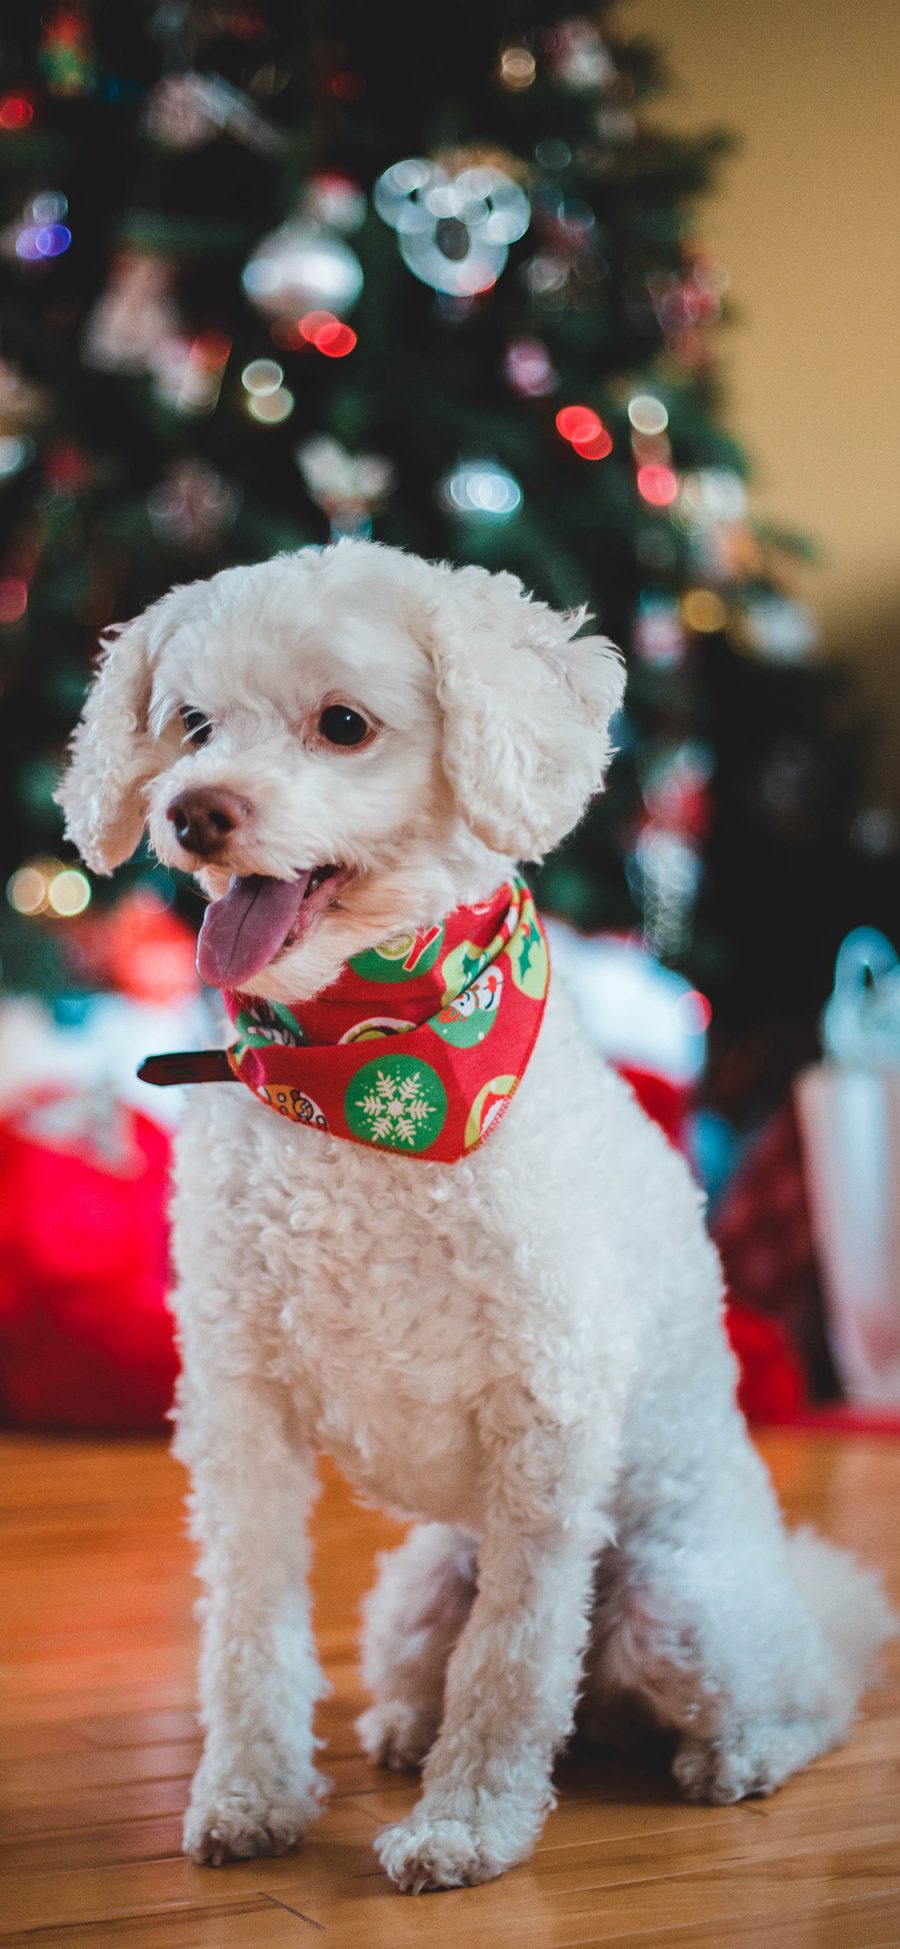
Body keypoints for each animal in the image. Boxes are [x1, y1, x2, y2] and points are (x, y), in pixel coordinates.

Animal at [57, 541, 892, 1894]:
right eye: (191, 725)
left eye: (344, 724)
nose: (197, 812)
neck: (361, 1075)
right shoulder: (240, 1404)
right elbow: (248, 1626)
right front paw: (249, 1794)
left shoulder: (547, 1425)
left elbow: (512, 1661)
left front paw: (469, 1825)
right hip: (417, 1588)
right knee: (444, 1667)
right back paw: (404, 1726)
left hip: (677, 1599)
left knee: (801, 1686)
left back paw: (741, 1750)